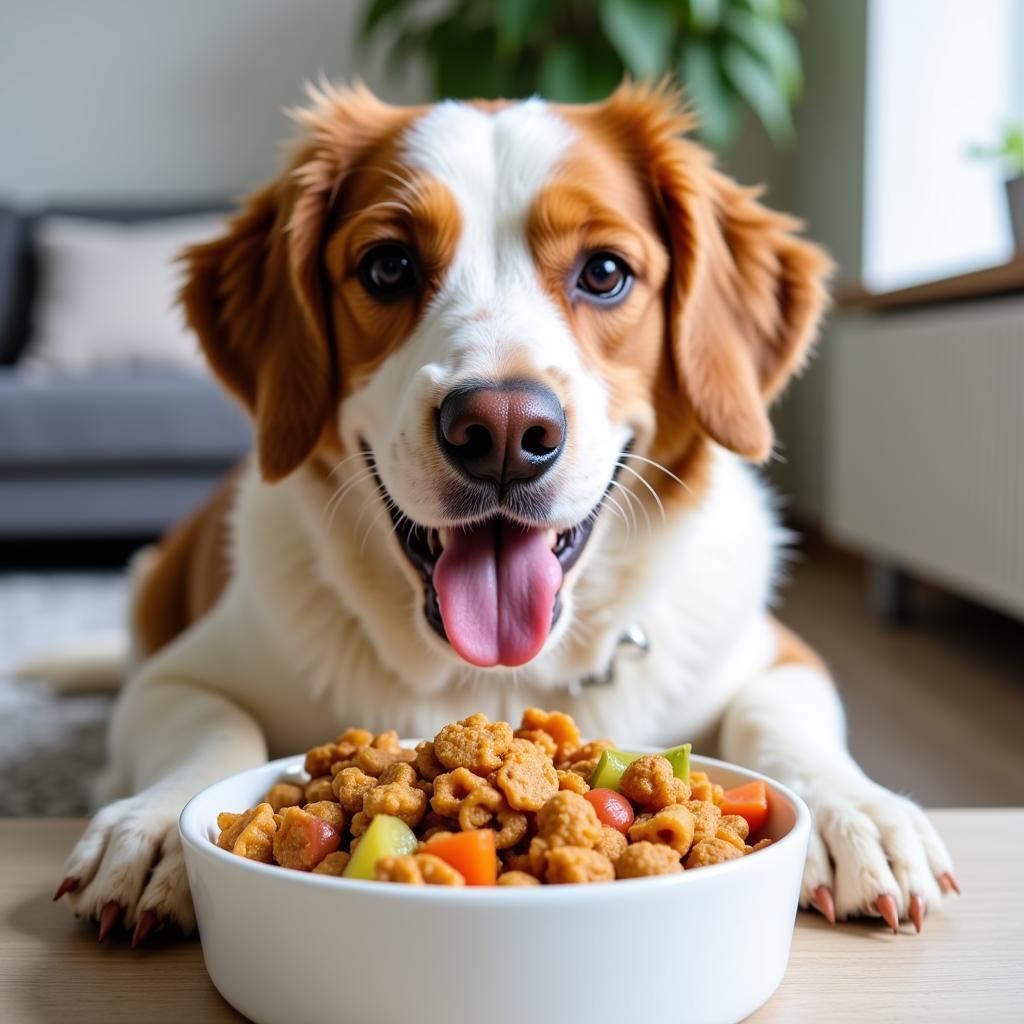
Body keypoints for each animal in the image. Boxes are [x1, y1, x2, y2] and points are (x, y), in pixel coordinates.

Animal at [56, 81, 954, 942]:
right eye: (387, 267)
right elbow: (212, 733)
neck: (488, 674)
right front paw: (153, 833)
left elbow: (781, 722)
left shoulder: (782, 657)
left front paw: (856, 813)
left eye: (605, 272)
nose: (502, 434)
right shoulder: (177, 674)